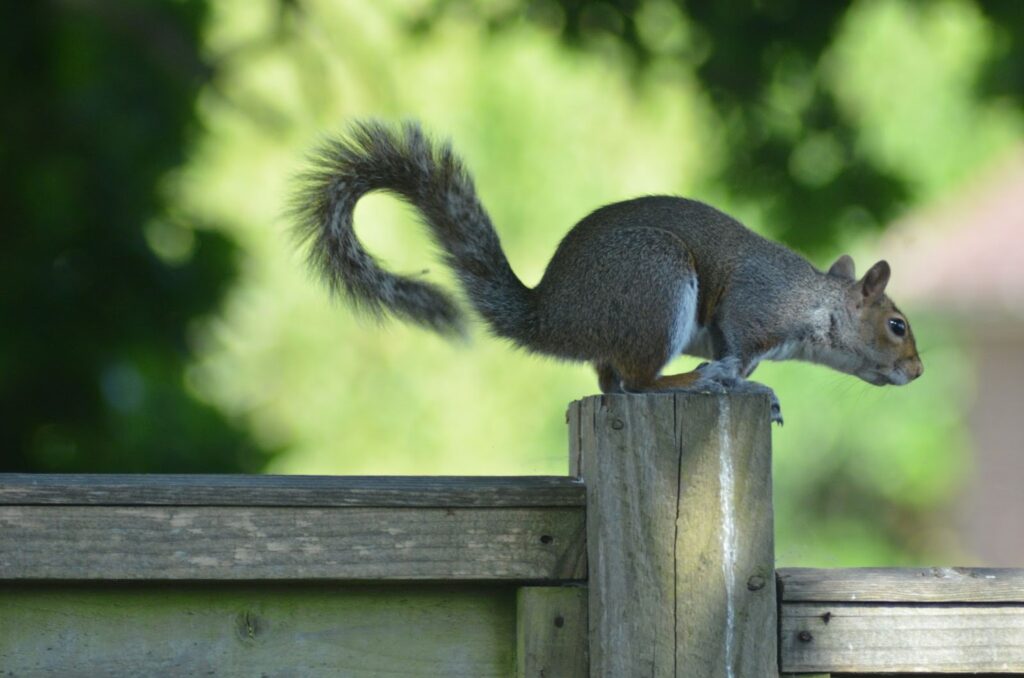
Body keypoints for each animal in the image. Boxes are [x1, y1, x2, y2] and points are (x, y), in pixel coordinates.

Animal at [292, 120, 923, 424]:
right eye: (896, 325)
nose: (917, 372)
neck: (815, 304)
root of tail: (553, 316)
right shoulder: (754, 310)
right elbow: (739, 355)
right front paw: (751, 388)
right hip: (656, 283)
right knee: (639, 383)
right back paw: (693, 380)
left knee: (611, 383)